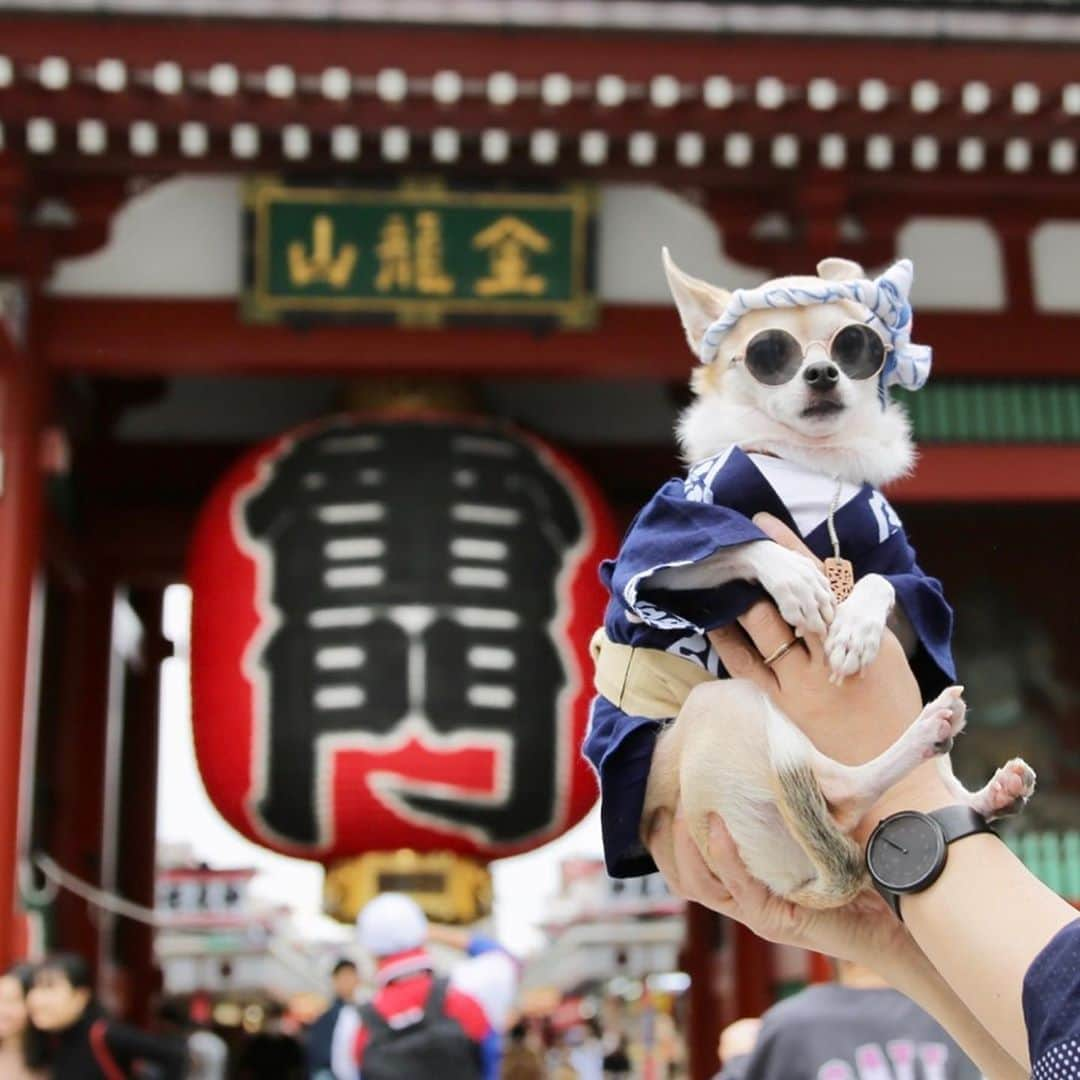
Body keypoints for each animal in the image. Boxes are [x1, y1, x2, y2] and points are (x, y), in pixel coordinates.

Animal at [596, 250, 1032, 902]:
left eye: (857, 345)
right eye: (768, 353)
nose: (823, 371)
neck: (807, 463)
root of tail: (797, 878)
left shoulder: (908, 587)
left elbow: (885, 583)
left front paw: (856, 626)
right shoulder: (660, 546)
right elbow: (733, 539)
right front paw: (797, 579)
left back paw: (985, 789)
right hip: (725, 705)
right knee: (844, 795)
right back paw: (926, 733)